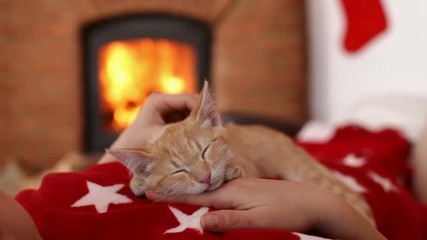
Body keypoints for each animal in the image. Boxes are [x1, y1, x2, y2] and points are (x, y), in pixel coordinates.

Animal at [107, 81, 374, 226]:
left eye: (205, 151)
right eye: (178, 171)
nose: (205, 177)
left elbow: (243, 169)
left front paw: (230, 172)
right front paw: (138, 181)